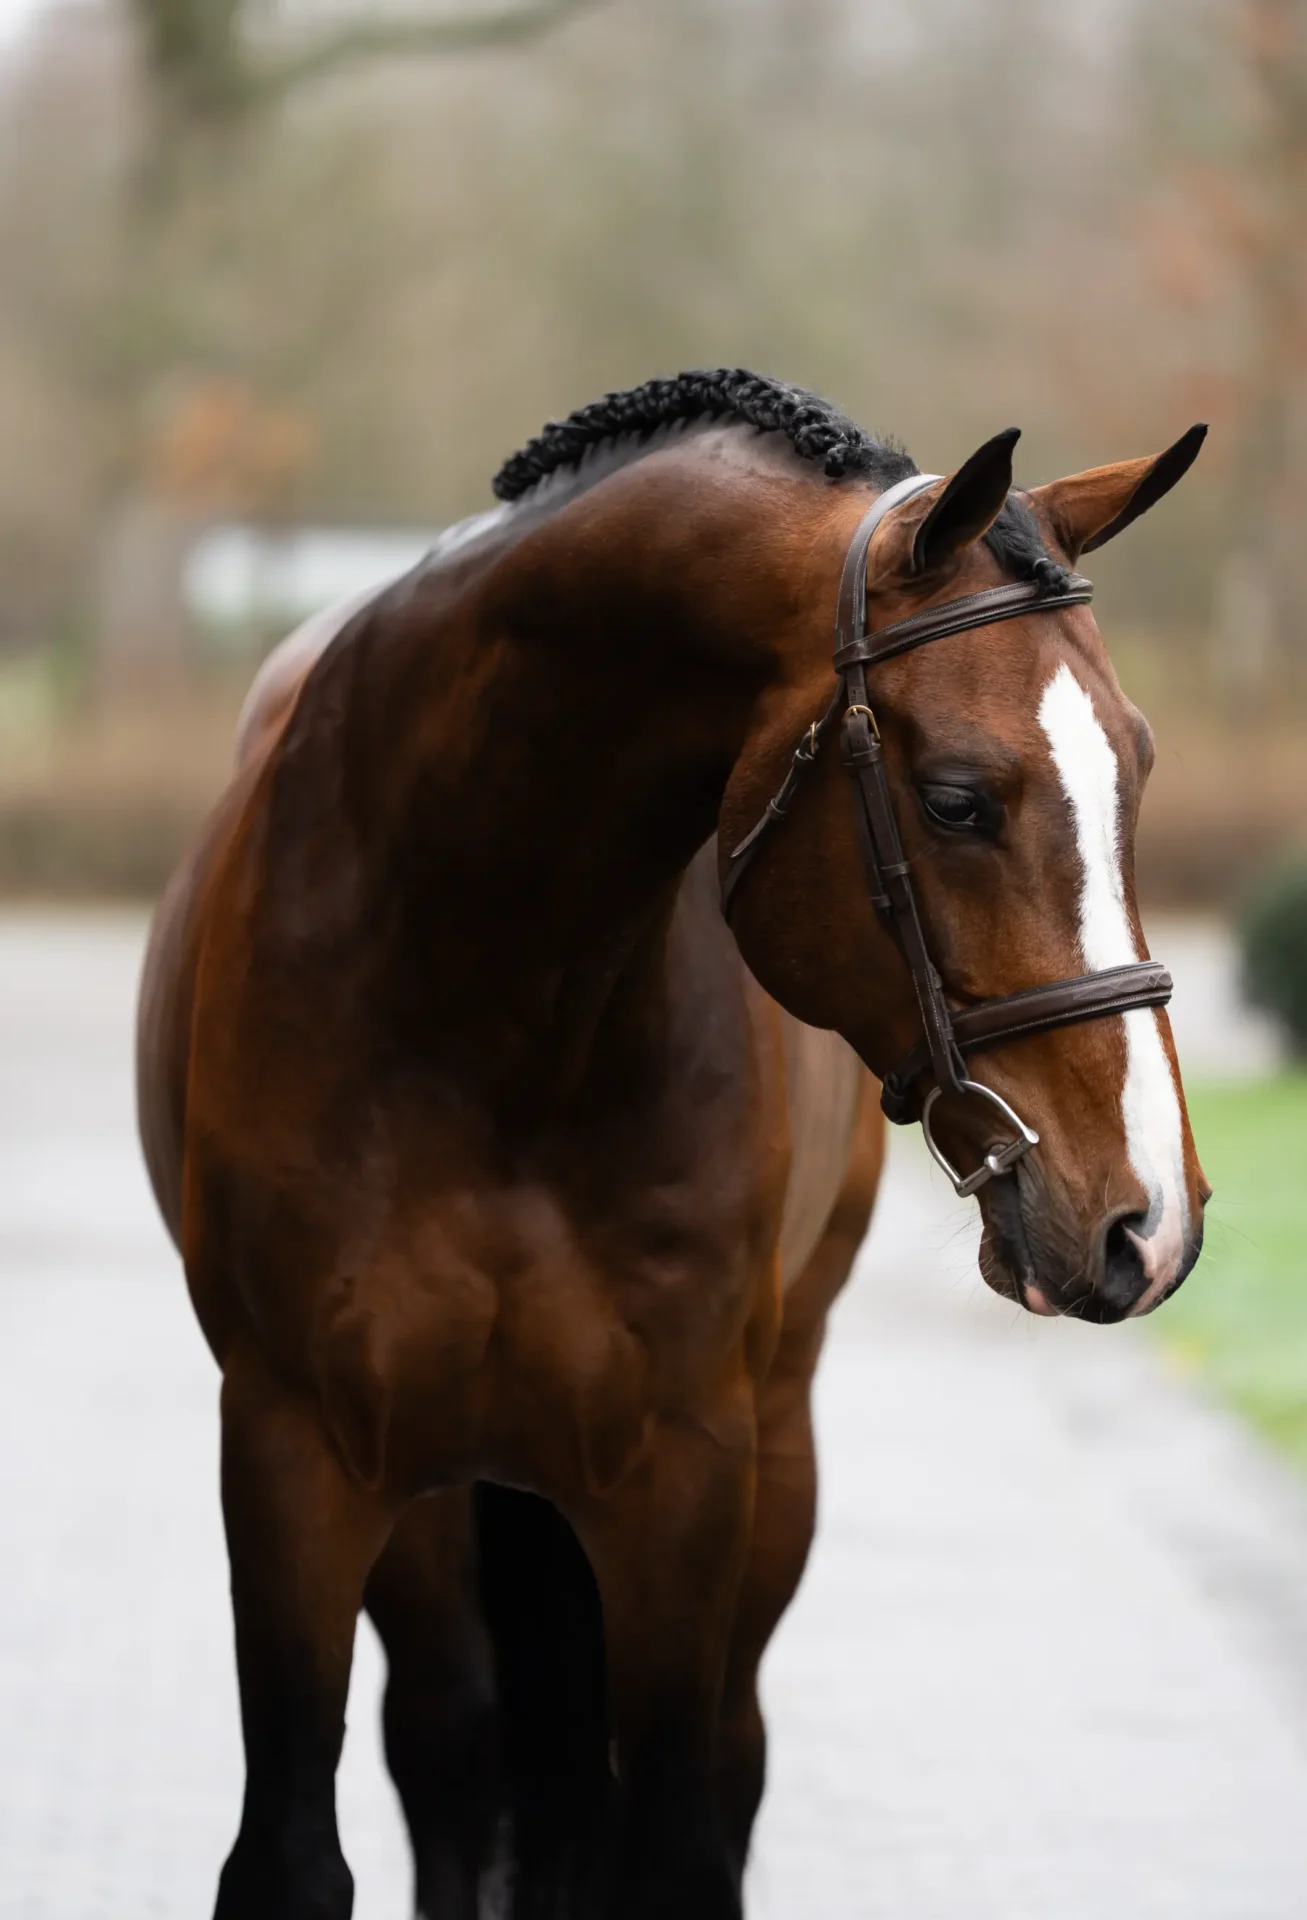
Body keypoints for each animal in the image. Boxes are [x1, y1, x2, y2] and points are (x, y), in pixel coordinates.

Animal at [136, 369, 1209, 1920]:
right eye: (955, 797)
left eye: (1133, 767)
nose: (1145, 1220)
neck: (480, 1004)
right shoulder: (293, 1449)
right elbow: (296, 1850)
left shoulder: (683, 1475)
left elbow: (674, 1837)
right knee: (450, 1744)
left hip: (772, 1452)